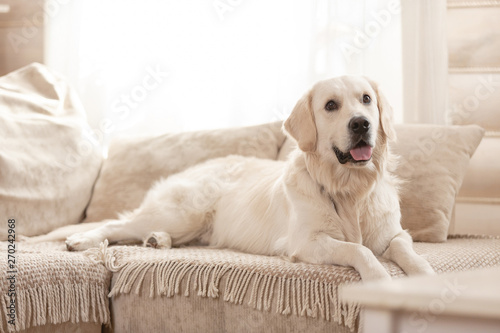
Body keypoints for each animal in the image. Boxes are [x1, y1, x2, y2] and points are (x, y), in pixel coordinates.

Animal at [30, 76, 434, 280]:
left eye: (366, 99)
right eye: (331, 106)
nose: (361, 124)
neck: (349, 189)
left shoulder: (394, 233)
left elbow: (406, 250)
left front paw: (427, 276)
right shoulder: (307, 242)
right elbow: (359, 249)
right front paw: (380, 279)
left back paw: (157, 241)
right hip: (182, 211)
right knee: (115, 225)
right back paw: (82, 240)